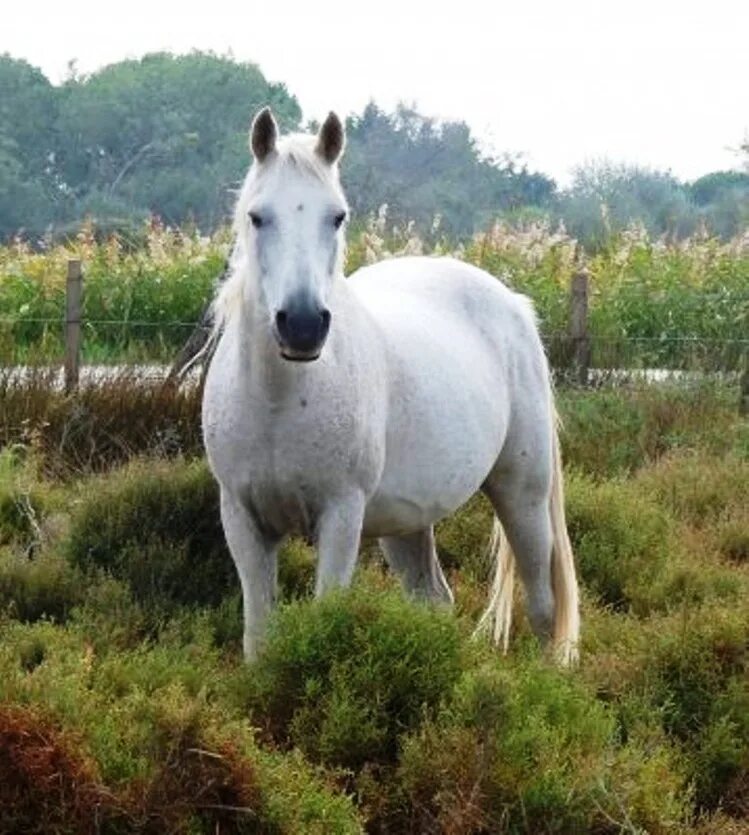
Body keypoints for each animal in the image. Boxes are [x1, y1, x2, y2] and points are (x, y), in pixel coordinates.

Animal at [200, 108, 580, 668]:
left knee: (543, 606)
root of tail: (513, 304)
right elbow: (259, 635)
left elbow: (325, 614)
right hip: (406, 521)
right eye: (257, 216)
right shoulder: (243, 521)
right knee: (434, 599)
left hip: (522, 493)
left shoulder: (340, 517)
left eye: (337, 216)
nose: (303, 326)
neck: (279, 402)